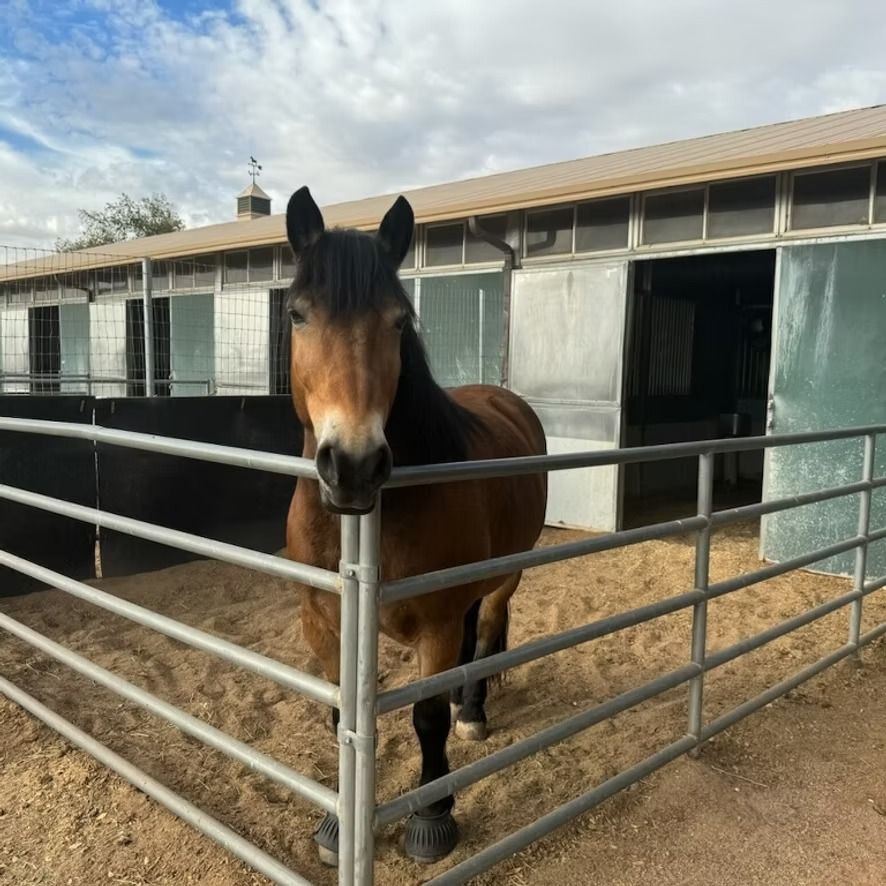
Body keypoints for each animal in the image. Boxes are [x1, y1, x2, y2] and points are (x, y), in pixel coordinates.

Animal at [283, 186, 548, 865]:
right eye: (298, 314)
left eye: (399, 321)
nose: (352, 465)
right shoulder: (323, 620)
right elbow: (339, 718)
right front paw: (337, 825)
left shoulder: (434, 622)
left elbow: (426, 718)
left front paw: (433, 815)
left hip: (506, 573)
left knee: (488, 625)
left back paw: (471, 708)